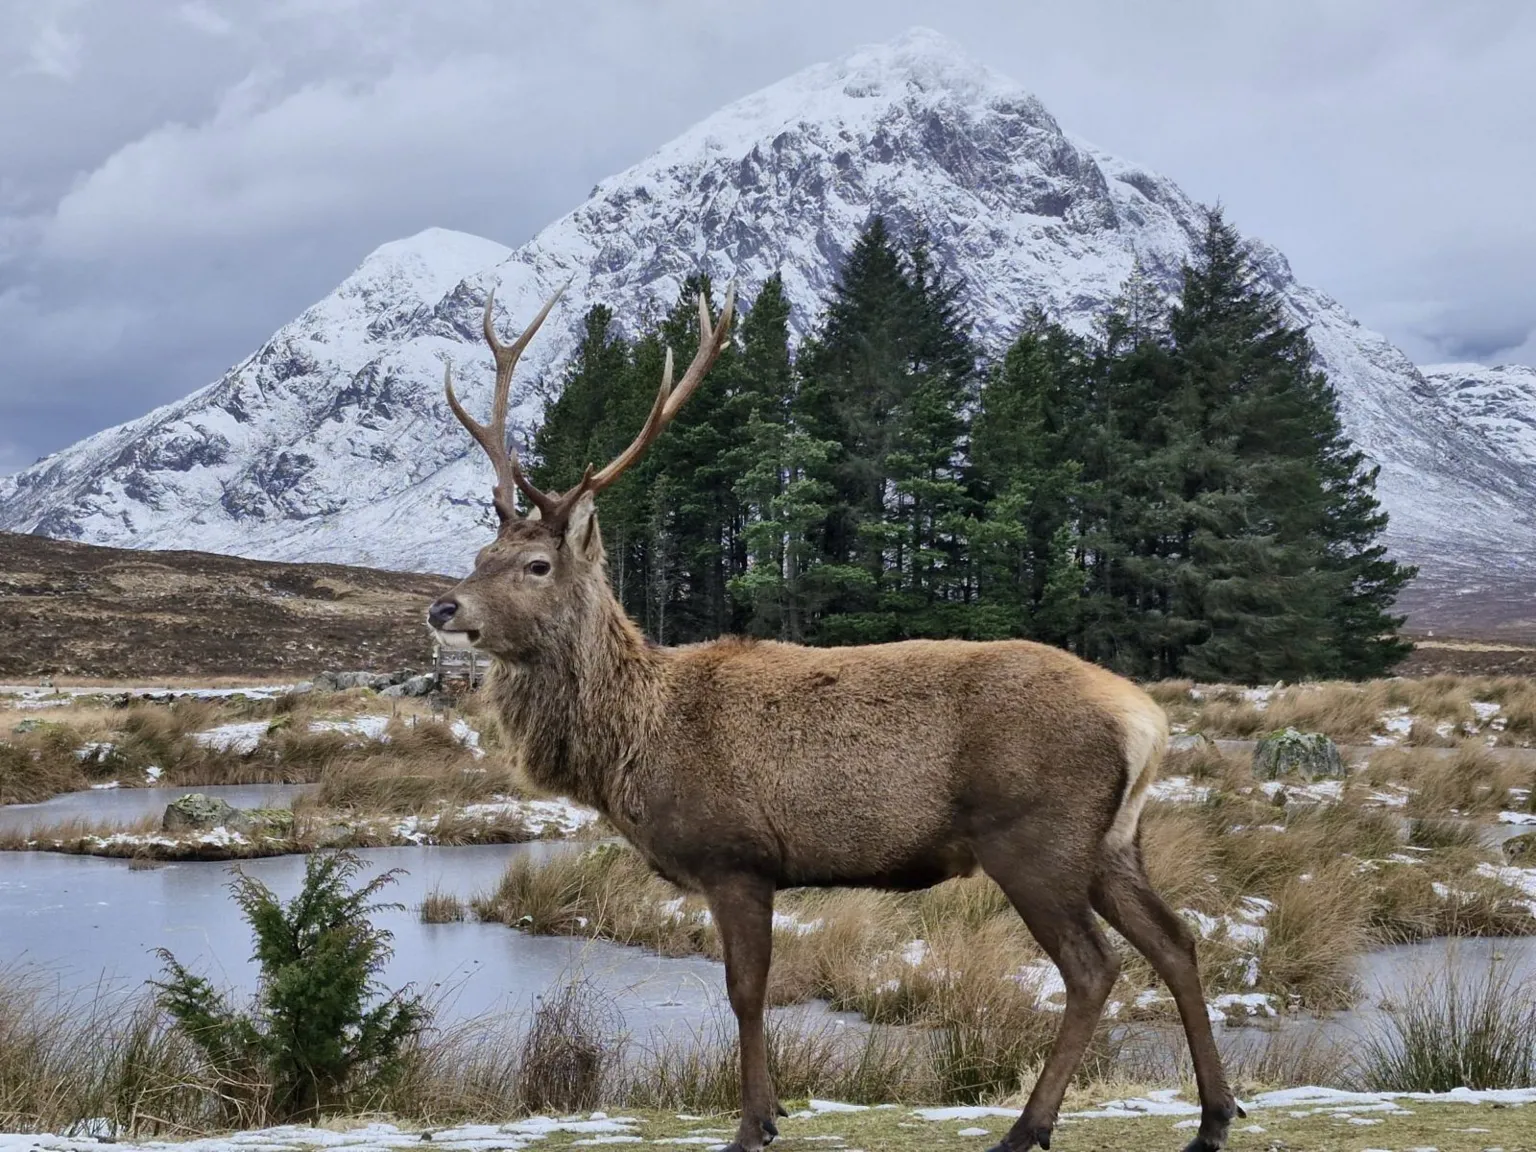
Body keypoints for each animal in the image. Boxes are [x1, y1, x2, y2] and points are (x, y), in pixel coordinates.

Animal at [425, 280, 1243, 1152]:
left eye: (537, 564)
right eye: (479, 556)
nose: (443, 608)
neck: (632, 745)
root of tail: (1146, 720)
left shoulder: (736, 856)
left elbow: (746, 990)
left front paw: (753, 1123)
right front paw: (771, 1111)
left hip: (1034, 835)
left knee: (1094, 967)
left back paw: (1029, 1126)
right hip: (1115, 841)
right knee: (1176, 941)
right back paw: (1213, 1117)